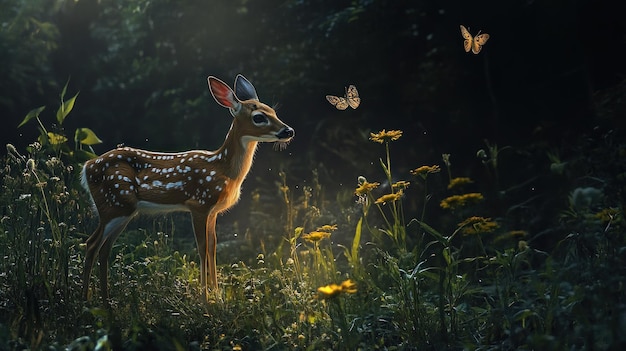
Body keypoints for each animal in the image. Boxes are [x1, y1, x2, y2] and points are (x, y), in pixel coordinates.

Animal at [81, 74, 294, 302]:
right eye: (259, 117)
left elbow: (213, 247)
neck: (223, 169)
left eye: (274, 111)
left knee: (104, 248)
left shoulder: (213, 211)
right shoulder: (199, 203)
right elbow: (202, 248)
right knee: (92, 244)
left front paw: (217, 295)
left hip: (123, 210)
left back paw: (105, 300)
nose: (289, 130)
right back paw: (85, 300)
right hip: (114, 204)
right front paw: (205, 298)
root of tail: (87, 167)